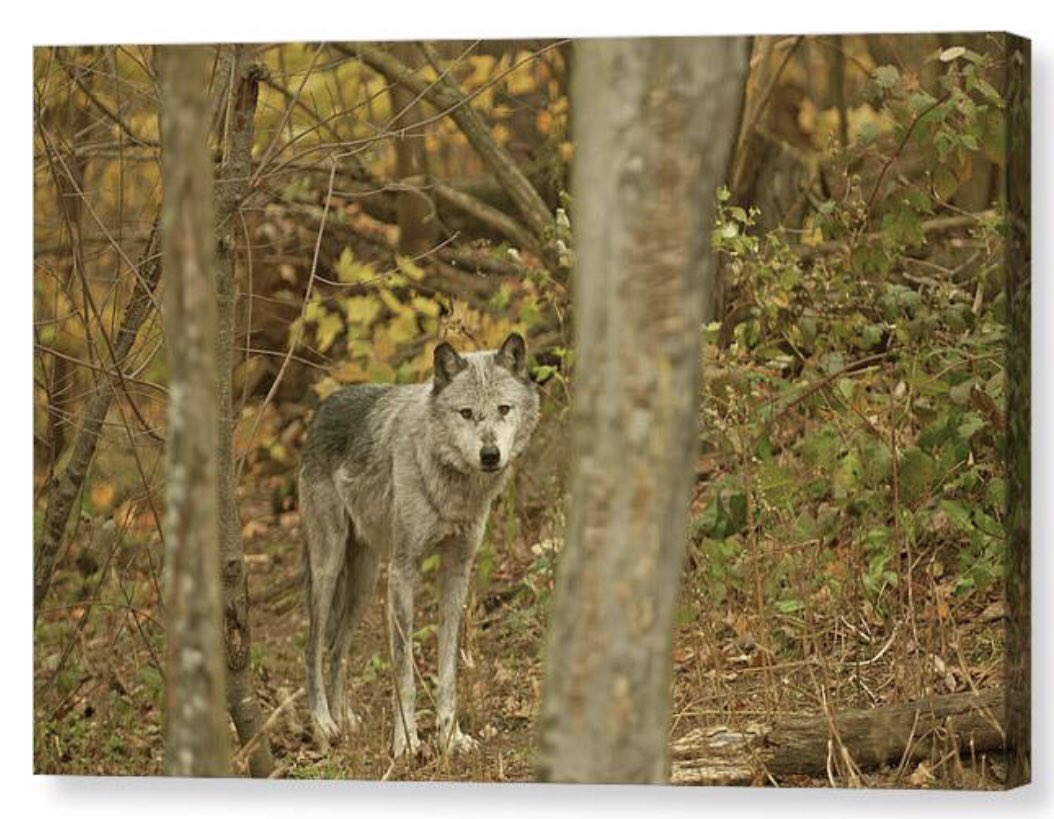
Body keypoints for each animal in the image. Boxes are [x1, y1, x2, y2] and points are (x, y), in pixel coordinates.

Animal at [299, 333, 539, 757]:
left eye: (503, 409)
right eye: (466, 413)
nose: (490, 455)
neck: (454, 488)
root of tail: (323, 408)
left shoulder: (457, 570)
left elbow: (447, 667)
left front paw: (450, 737)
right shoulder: (403, 572)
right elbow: (404, 668)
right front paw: (408, 742)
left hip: (365, 581)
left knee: (337, 648)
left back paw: (347, 720)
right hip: (329, 565)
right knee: (312, 648)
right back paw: (325, 725)